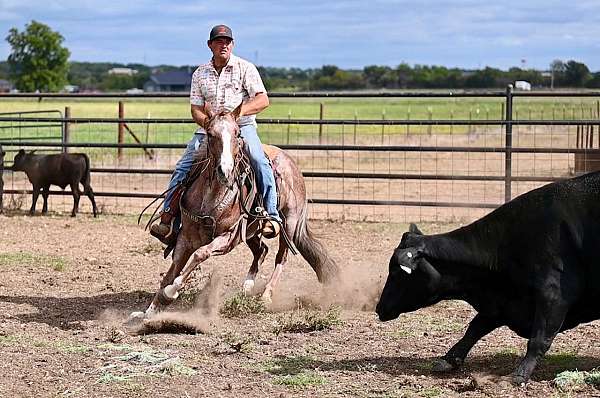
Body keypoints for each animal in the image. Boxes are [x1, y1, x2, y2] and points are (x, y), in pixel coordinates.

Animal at [131, 104, 340, 318]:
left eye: (237, 133)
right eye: (210, 134)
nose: (225, 171)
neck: (210, 197)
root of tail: (292, 164)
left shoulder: (227, 237)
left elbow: (199, 255)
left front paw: (171, 291)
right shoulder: (185, 237)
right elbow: (171, 271)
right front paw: (149, 311)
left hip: (288, 222)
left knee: (281, 257)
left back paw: (266, 295)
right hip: (251, 231)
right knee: (261, 250)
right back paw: (247, 287)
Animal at [376, 172, 600, 386]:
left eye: (395, 273)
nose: (378, 308)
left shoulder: (553, 295)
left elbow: (539, 339)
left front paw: (518, 375)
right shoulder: (503, 302)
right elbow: (475, 327)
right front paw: (449, 359)